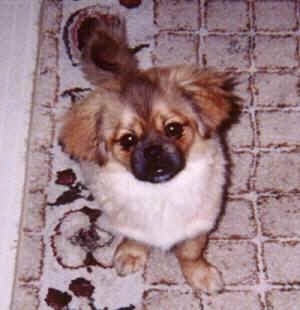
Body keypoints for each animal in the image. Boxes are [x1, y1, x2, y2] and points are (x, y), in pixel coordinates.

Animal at [59, 15, 240, 294]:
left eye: (173, 129)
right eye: (128, 140)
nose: (154, 150)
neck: (160, 192)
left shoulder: (199, 223)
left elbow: (190, 252)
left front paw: (200, 275)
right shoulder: (130, 222)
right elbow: (136, 238)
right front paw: (131, 254)